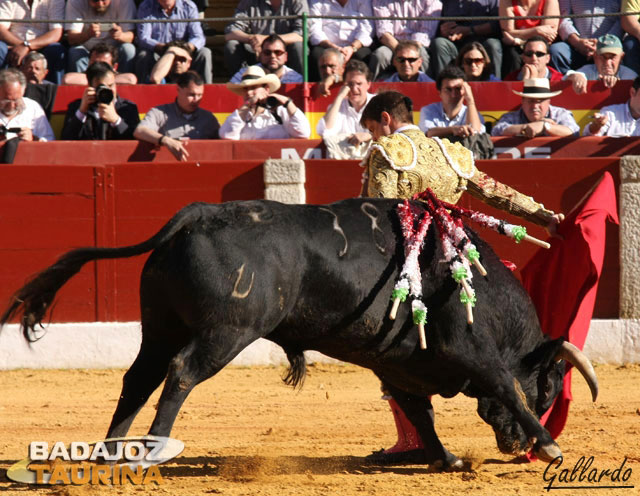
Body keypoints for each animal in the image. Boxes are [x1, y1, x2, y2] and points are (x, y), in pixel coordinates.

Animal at [1, 198, 600, 468]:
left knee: (138, 378)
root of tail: (195, 213)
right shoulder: (472, 352)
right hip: (227, 332)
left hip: (161, 326)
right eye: (548, 389)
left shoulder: (401, 368)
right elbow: (503, 386)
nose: (516, 447)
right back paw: (151, 450)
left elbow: (421, 415)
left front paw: (447, 459)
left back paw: (111, 450)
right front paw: (551, 447)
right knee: (180, 374)